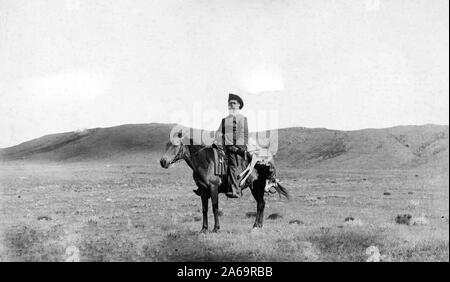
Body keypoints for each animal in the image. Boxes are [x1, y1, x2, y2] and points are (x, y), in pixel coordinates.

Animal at [160, 129, 290, 231]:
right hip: (255, 187)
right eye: (166, 144)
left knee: (261, 203)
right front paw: (204, 229)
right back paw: (258, 225)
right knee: (261, 203)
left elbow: (215, 208)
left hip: (257, 186)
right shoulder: (203, 190)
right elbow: (204, 209)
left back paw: (256, 225)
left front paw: (216, 228)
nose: (163, 162)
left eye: (175, 145)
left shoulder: (213, 188)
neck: (205, 162)